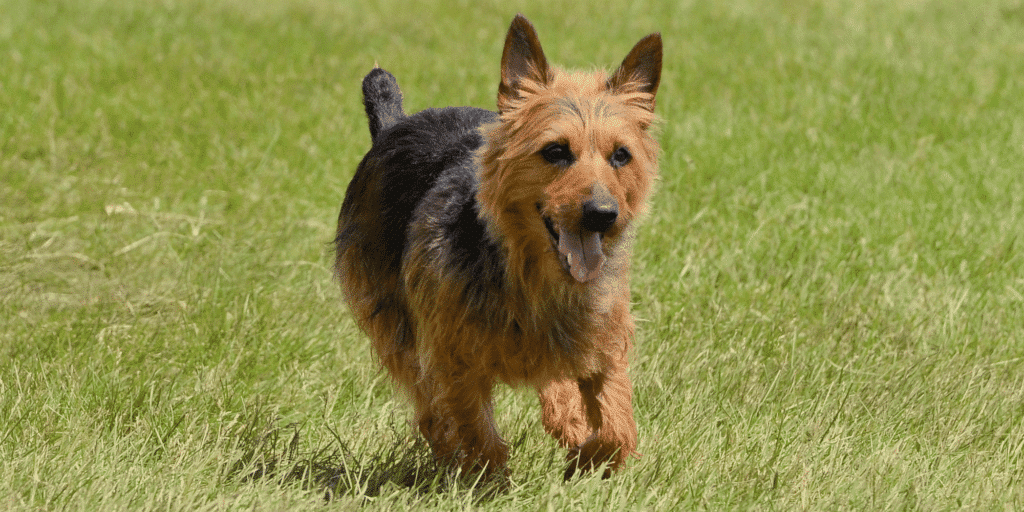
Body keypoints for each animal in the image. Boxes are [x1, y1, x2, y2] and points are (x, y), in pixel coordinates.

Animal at [331, 14, 659, 477]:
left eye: (621, 156)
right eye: (555, 151)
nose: (602, 213)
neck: (533, 277)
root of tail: (393, 125)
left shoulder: (606, 342)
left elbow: (617, 428)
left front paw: (584, 459)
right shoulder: (453, 357)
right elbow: (475, 430)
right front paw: (489, 481)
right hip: (393, 326)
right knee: (427, 408)